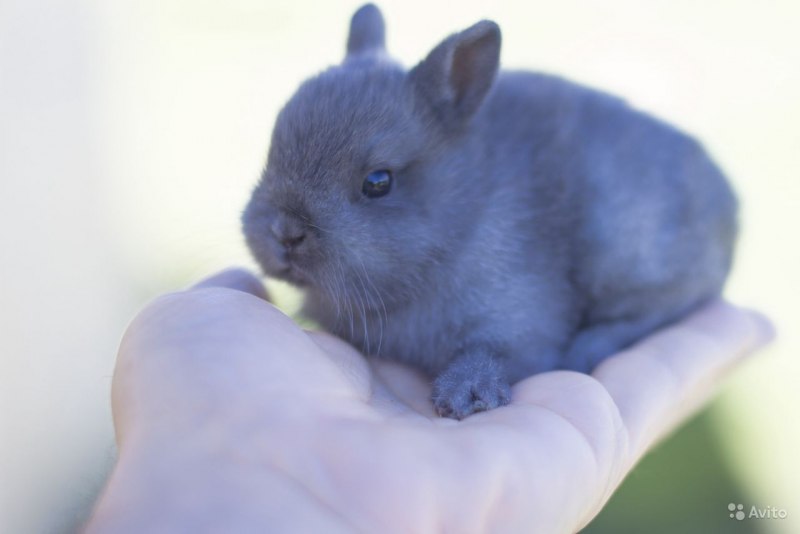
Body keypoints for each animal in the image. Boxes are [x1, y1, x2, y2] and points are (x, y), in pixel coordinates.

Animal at [242, 4, 737, 419]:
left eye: (378, 182)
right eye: (272, 150)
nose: (285, 232)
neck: (464, 217)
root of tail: (731, 204)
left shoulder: (522, 319)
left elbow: (493, 350)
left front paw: (467, 393)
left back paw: (590, 347)